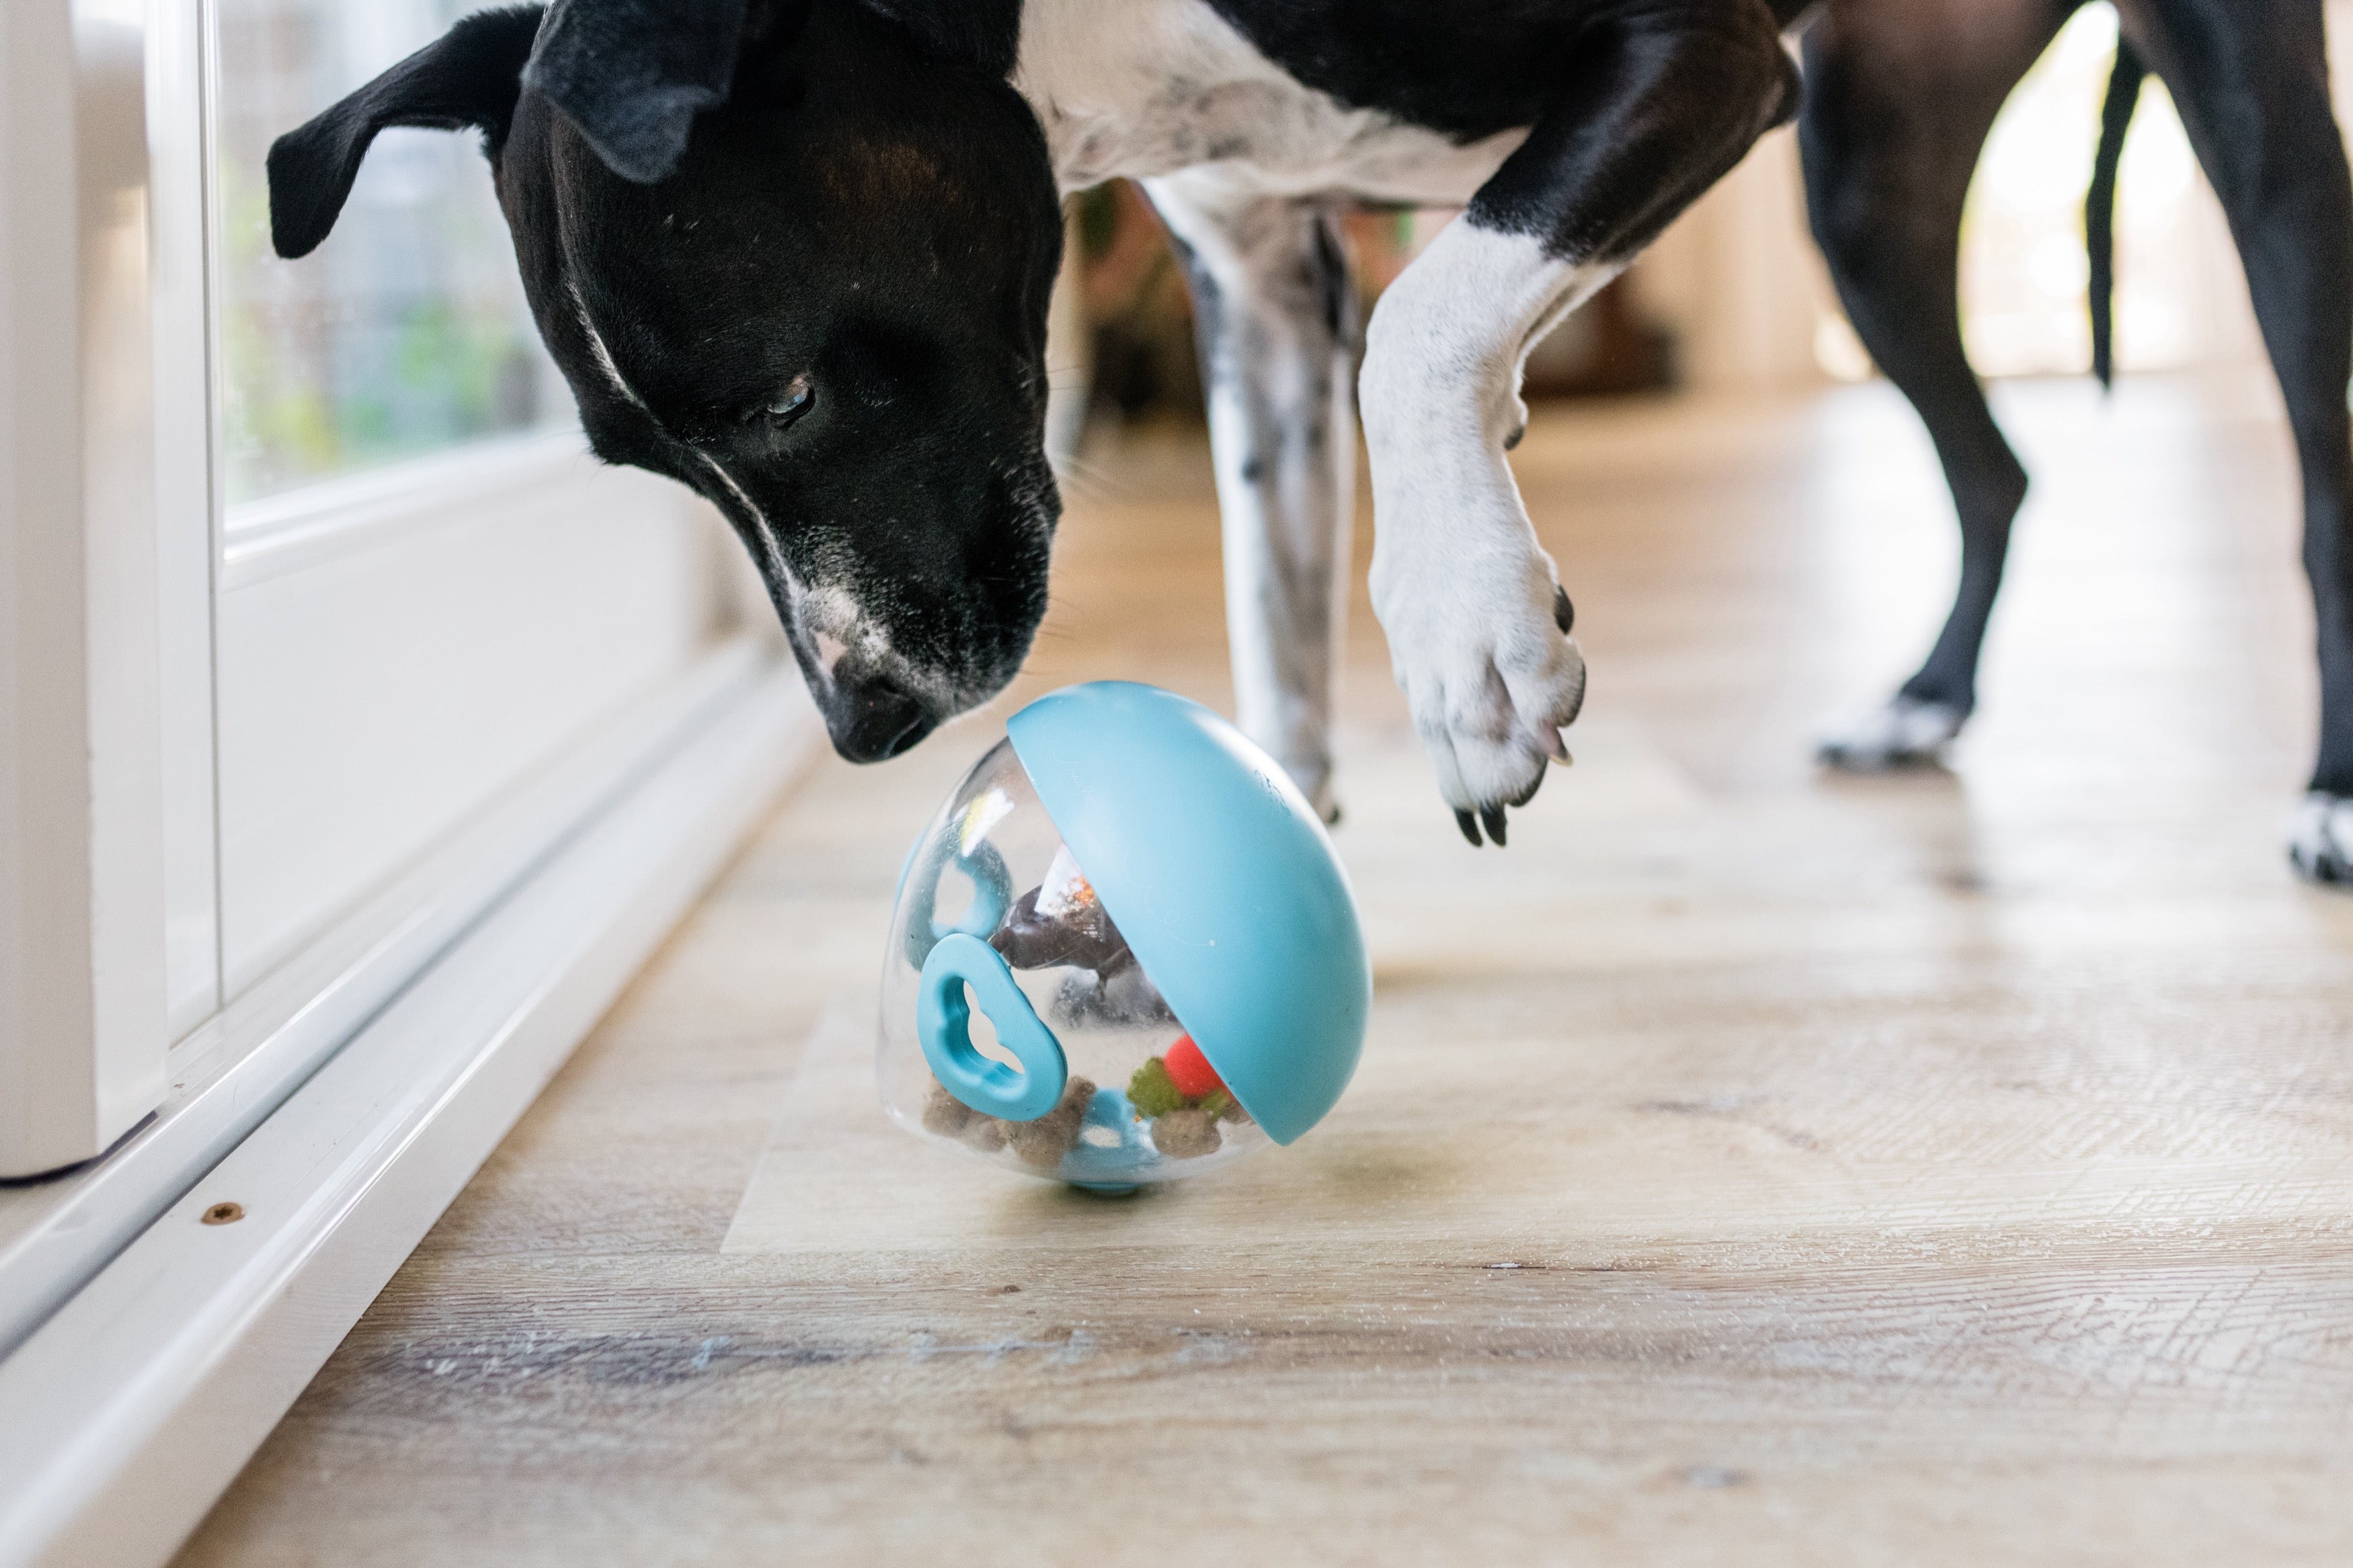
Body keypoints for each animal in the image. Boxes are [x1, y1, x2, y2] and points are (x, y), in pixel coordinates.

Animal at [1798, 0, 2353, 884]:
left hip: (2272, 163)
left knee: (2326, 524)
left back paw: (2335, 784)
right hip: (1868, 179)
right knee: (1993, 479)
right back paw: (1926, 694)